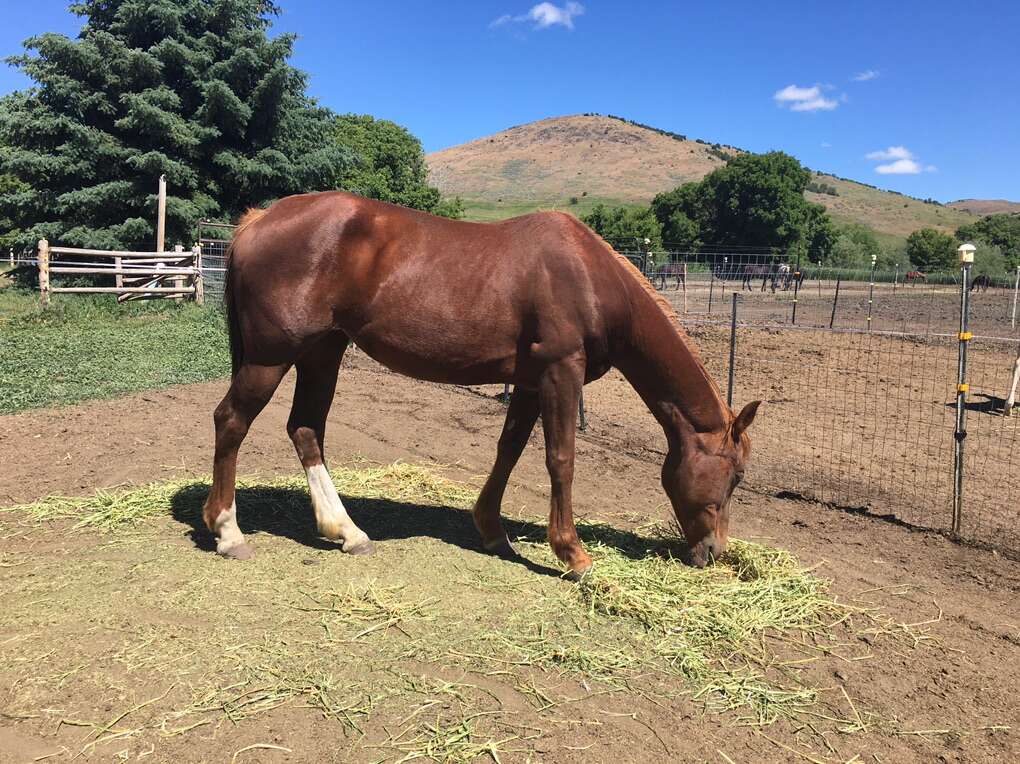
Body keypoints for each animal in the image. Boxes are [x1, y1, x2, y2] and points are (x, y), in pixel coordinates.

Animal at [203, 191, 760, 576]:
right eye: (735, 476)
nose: (713, 553)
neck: (589, 276)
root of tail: (258, 220)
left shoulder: (532, 382)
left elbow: (509, 450)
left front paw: (493, 531)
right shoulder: (561, 372)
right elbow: (560, 459)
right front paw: (573, 553)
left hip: (323, 351)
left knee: (306, 429)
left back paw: (346, 530)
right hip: (271, 357)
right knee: (231, 421)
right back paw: (229, 532)